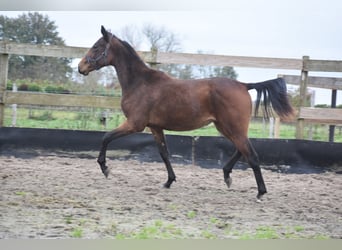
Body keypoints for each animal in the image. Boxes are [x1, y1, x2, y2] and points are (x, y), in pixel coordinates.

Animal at [78, 26, 294, 200]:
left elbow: (106, 137)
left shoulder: (134, 124)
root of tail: (243, 85)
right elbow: (164, 153)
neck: (140, 83)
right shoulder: (155, 127)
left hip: (233, 127)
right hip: (225, 127)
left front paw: (105, 168)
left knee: (252, 155)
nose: (80, 67)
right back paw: (227, 176)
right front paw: (169, 181)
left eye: (96, 46)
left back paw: (260, 192)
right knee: (242, 150)